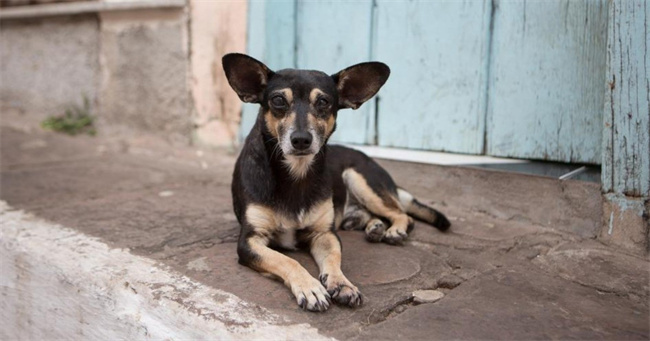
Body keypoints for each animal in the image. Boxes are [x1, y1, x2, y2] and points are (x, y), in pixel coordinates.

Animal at [220, 53, 448, 310]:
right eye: (278, 100)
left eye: (323, 102)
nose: (301, 139)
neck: (296, 174)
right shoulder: (250, 241)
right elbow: (286, 260)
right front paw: (310, 287)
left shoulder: (324, 234)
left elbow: (333, 258)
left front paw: (342, 283)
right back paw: (375, 227)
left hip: (359, 178)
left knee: (403, 214)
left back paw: (394, 229)